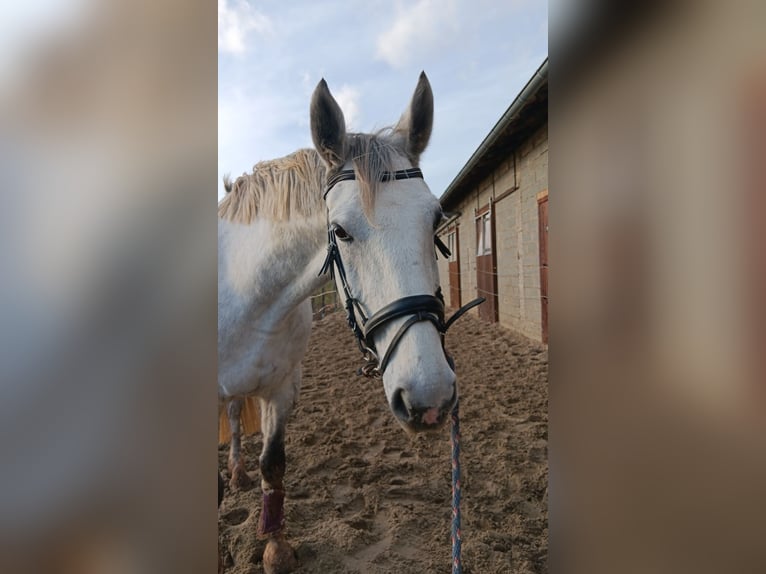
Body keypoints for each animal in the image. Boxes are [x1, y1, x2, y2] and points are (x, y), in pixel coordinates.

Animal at [219, 74, 464, 572]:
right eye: (341, 232)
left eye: (434, 220)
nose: (429, 398)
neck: (248, 295)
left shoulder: (282, 387)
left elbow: (273, 462)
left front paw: (275, 546)